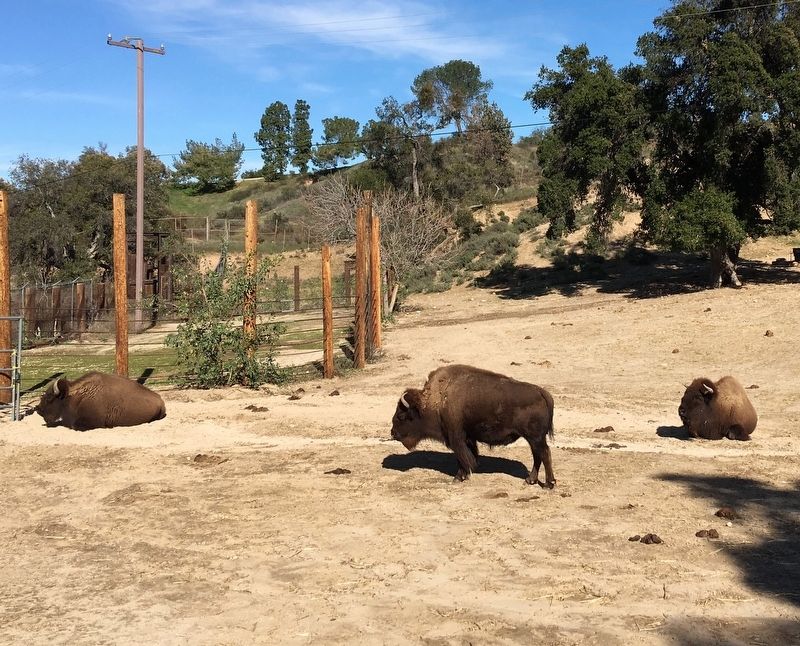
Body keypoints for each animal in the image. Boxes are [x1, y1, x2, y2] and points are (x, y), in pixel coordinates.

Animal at [390, 364, 556, 486]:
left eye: (401, 416)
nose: (393, 433)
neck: (436, 401)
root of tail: (541, 392)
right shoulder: (468, 437)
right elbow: (469, 455)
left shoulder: (456, 438)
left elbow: (462, 458)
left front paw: (458, 478)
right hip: (533, 439)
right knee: (538, 456)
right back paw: (530, 480)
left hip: (535, 438)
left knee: (544, 454)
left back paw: (549, 483)